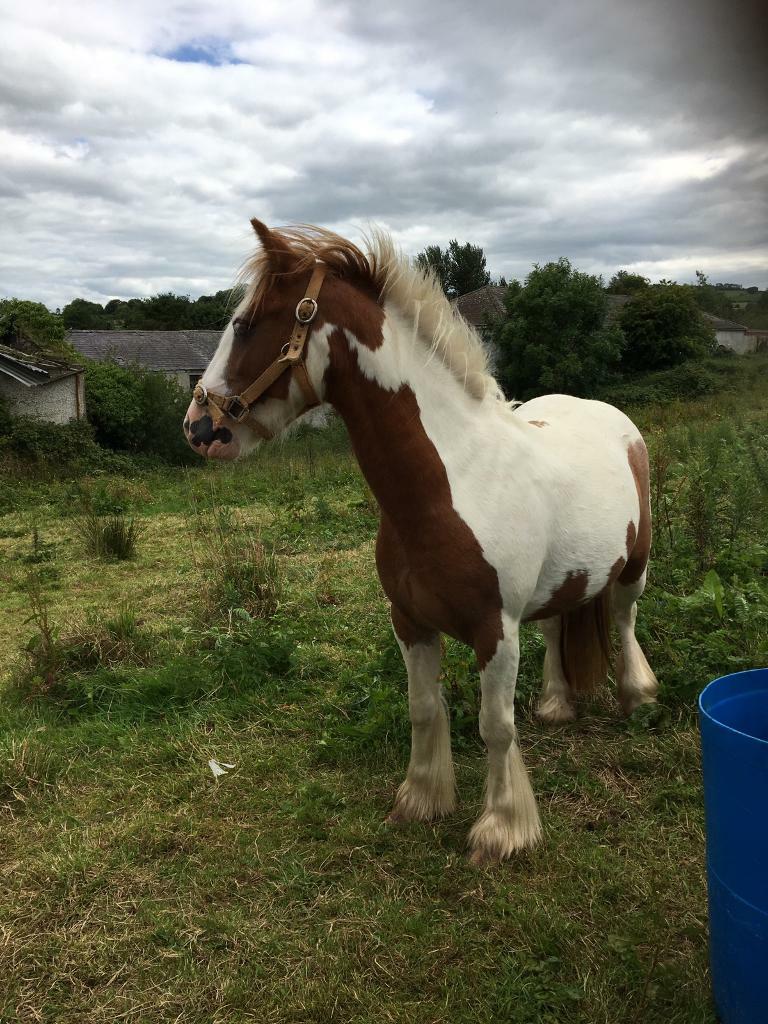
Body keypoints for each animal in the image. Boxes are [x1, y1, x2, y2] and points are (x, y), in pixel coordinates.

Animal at [183, 219, 658, 865]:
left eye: (246, 324)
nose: (198, 428)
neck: (448, 484)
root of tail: (611, 417)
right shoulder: (409, 621)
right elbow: (424, 709)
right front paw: (422, 799)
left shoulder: (495, 631)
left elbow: (495, 726)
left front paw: (501, 829)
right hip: (565, 578)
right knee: (560, 625)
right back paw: (557, 704)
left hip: (635, 564)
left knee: (627, 618)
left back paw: (638, 696)